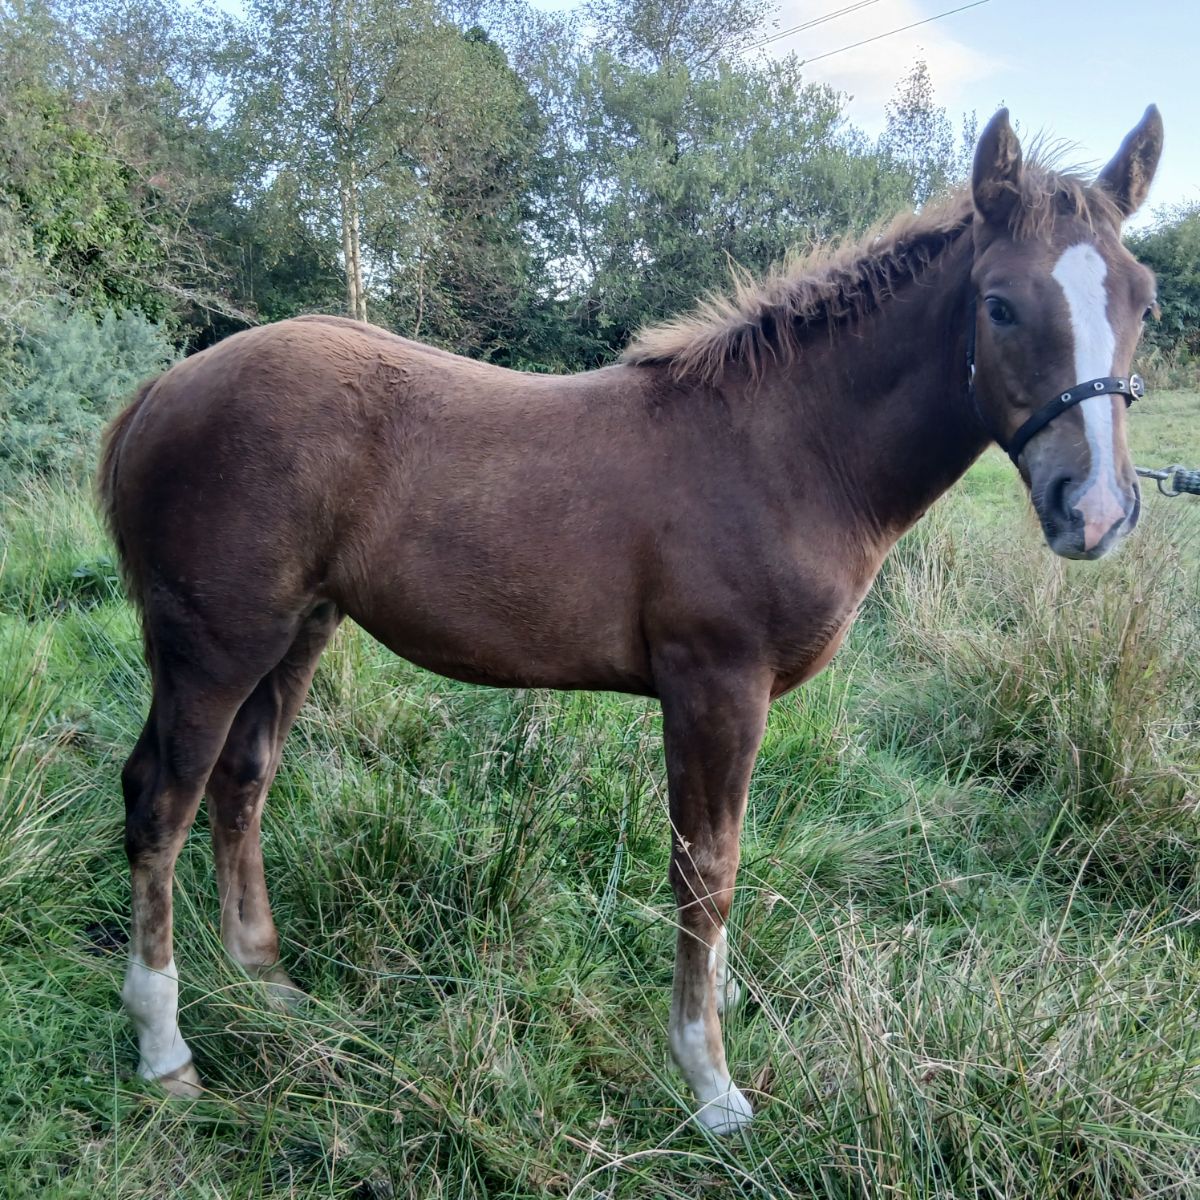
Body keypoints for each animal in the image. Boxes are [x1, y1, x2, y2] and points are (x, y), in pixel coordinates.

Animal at [97, 107, 1163, 1133]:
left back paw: (267, 984)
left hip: (299, 631)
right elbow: (707, 870)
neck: (786, 449)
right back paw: (164, 1050)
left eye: (1143, 302)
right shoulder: (715, 686)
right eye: (1000, 303)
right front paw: (712, 1085)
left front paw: (717, 1019)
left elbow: (719, 867)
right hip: (213, 648)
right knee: (161, 801)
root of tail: (161, 390)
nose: (1096, 510)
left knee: (242, 782)